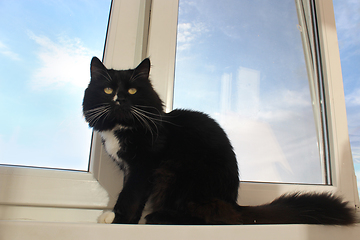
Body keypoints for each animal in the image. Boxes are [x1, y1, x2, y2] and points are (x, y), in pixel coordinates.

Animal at [83, 56, 356, 225]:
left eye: (132, 90)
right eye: (108, 90)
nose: (119, 100)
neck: (121, 128)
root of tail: (232, 202)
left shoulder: (144, 166)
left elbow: (130, 195)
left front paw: (118, 219)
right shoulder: (130, 167)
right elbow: (129, 193)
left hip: (178, 175)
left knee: (212, 218)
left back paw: (160, 218)